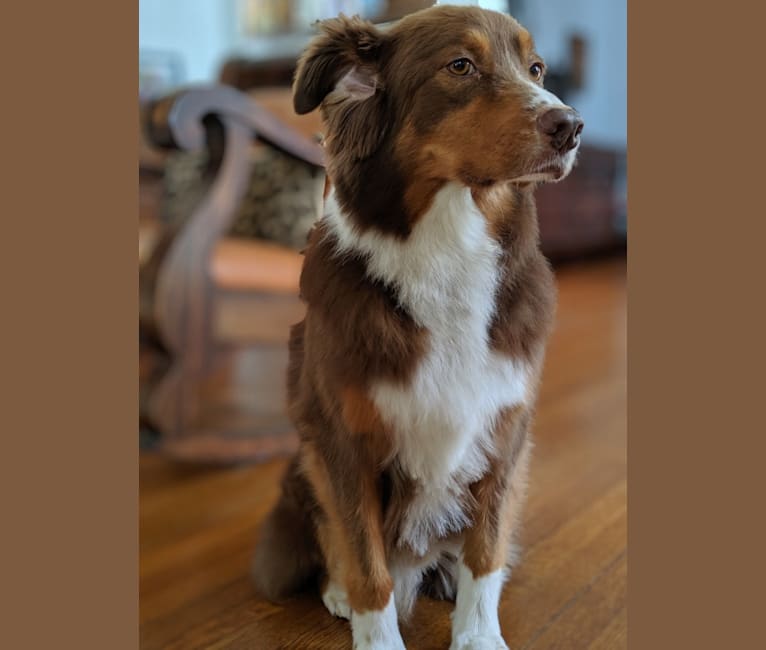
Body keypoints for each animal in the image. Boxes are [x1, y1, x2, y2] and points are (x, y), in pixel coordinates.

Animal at [252, 5, 584, 648]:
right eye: (460, 66)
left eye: (536, 68)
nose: (572, 126)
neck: (449, 247)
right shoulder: (343, 441)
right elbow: (366, 560)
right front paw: (373, 631)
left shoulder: (505, 432)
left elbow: (485, 550)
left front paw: (477, 635)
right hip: (304, 461)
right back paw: (336, 591)